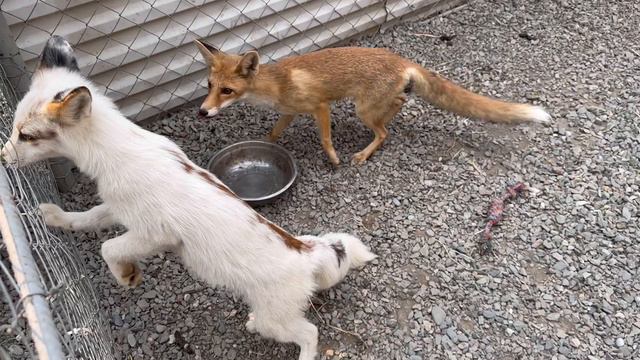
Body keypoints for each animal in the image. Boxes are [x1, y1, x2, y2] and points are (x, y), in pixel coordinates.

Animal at [1, 37, 376, 360]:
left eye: (27, 135)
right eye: (17, 128)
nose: (3, 158)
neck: (118, 150)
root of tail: (307, 253)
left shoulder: (155, 234)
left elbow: (109, 247)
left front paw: (126, 275)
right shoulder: (118, 207)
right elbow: (87, 218)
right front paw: (55, 217)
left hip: (279, 320)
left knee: (310, 333)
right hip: (274, 312)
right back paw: (253, 321)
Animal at [195, 41, 552, 166]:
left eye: (227, 90)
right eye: (210, 86)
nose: (202, 112)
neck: (277, 85)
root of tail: (401, 59)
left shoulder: (320, 107)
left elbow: (325, 139)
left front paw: (334, 160)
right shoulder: (290, 113)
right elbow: (272, 135)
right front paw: (266, 145)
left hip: (362, 110)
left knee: (384, 133)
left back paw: (363, 155)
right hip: (372, 105)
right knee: (399, 103)